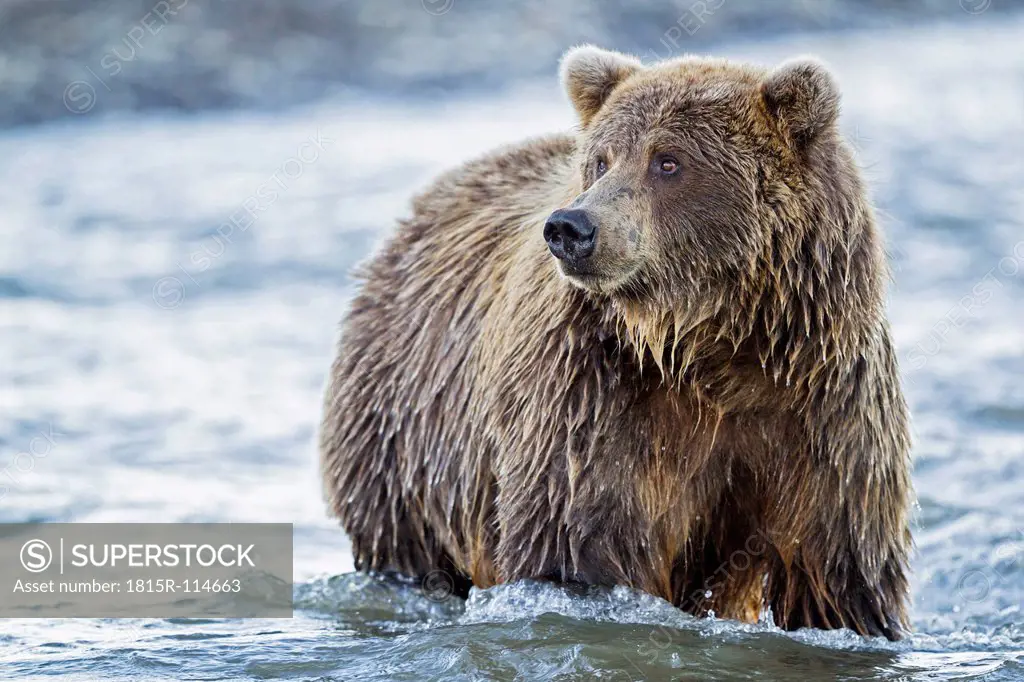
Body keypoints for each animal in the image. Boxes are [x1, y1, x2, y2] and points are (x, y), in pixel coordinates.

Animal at [319, 45, 913, 638]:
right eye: (602, 160)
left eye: (668, 161)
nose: (571, 227)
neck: (709, 345)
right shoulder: (592, 393)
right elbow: (577, 538)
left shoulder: (821, 408)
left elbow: (835, 571)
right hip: (406, 437)